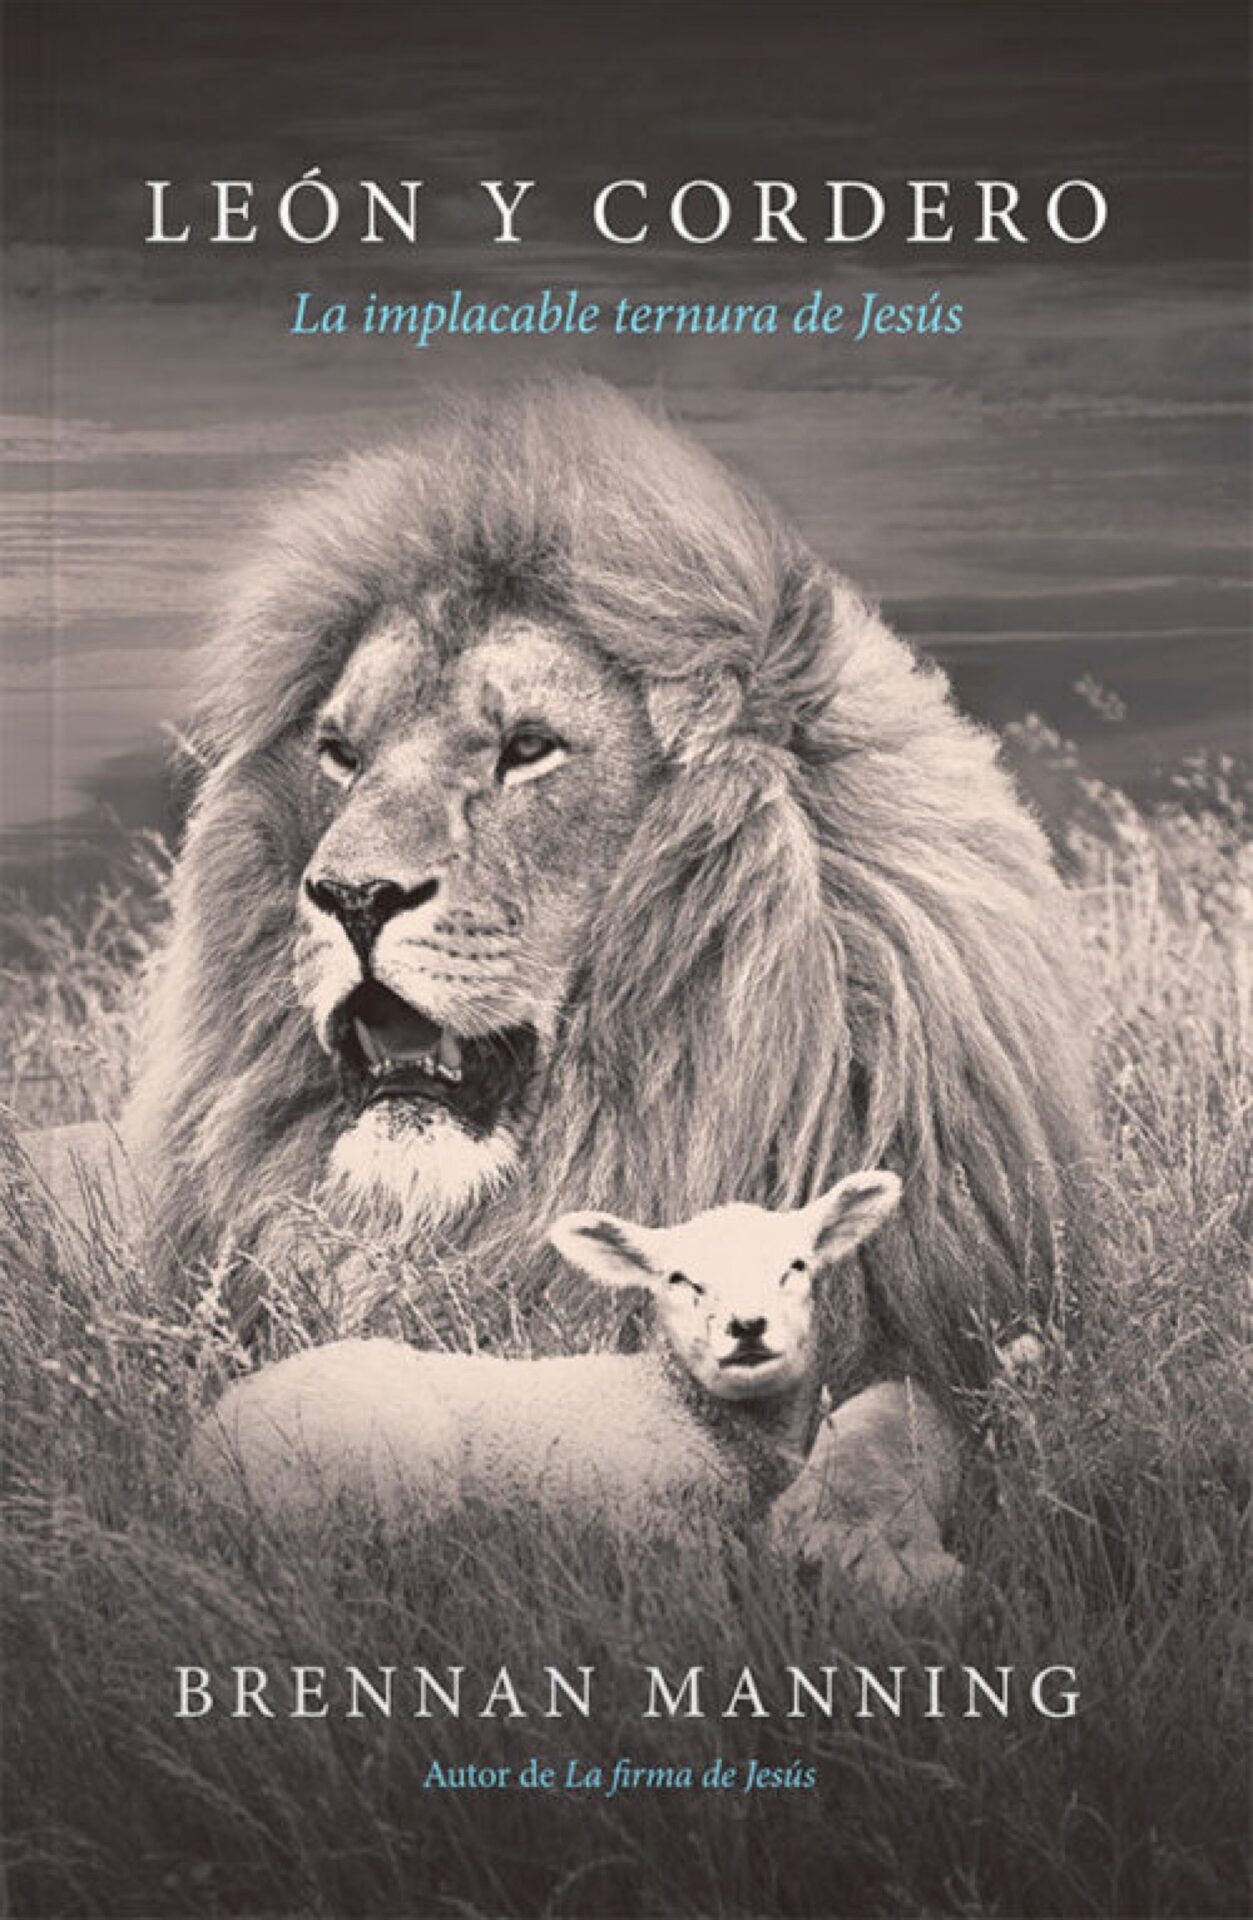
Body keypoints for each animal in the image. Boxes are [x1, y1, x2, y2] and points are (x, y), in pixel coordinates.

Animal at [32, 379, 1095, 1591]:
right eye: (341, 755)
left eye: (529, 747)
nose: (350, 893)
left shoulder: (952, 1335)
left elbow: (899, 1426)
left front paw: (857, 1546)